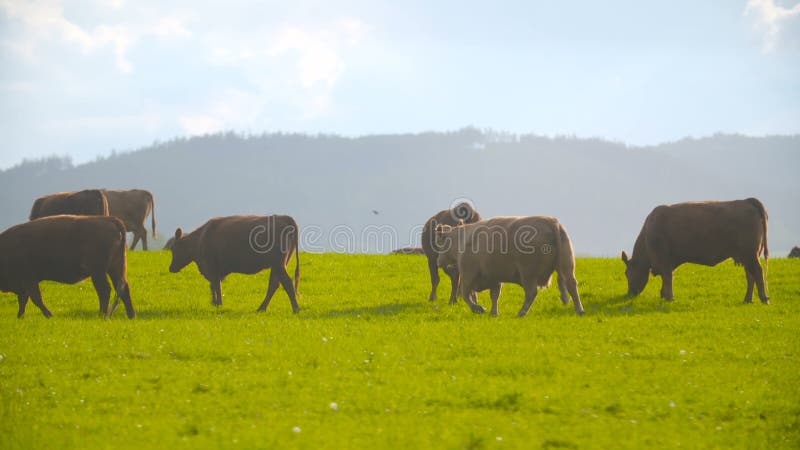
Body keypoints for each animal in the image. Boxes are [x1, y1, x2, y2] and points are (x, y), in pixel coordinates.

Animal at [0, 215, 135, 318]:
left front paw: (49, 315)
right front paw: (20, 316)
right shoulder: (25, 283)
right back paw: (131, 316)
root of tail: (108, 219)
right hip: (114, 268)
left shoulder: (29, 280)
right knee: (123, 289)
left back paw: (101, 315)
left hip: (98, 271)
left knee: (105, 290)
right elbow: (24, 300)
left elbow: (35, 298)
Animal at [167, 214, 302, 312]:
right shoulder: (218, 269)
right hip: (279, 265)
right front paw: (215, 303)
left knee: (287, 283)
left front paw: (219, 304)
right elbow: (214, 285)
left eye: (173, 248)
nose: (171, 268)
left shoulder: (212, 266)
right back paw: (261, 308)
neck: (199, 239)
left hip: (278, 264)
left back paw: (296, 309)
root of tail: (283, 217)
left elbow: (216, 285)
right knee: (274, 284)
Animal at [434, 215, 584, 316]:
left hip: (528, 274)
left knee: (531, 293)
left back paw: (521, 313)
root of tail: (552, 222)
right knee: (571, 285)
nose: (438, 262)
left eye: (441, 243)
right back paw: (580, 310)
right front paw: (494, 313)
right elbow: (494, 296)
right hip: (566, 267)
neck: (463, 240)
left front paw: (478, 309)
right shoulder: (494, 279)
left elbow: (466, 295)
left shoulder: (467, 276)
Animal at [620, 199, 768, 304]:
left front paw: (669, 298)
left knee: (758, 272)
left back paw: (764, 298)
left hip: (750, 255)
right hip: (747, 256)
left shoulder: (664, 260)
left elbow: (667, 277)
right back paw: (748, 299)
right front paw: (664, 295)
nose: (629, 294)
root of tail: (745, 201)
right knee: (750, 275)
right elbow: (666, 278)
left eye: (627, 273)